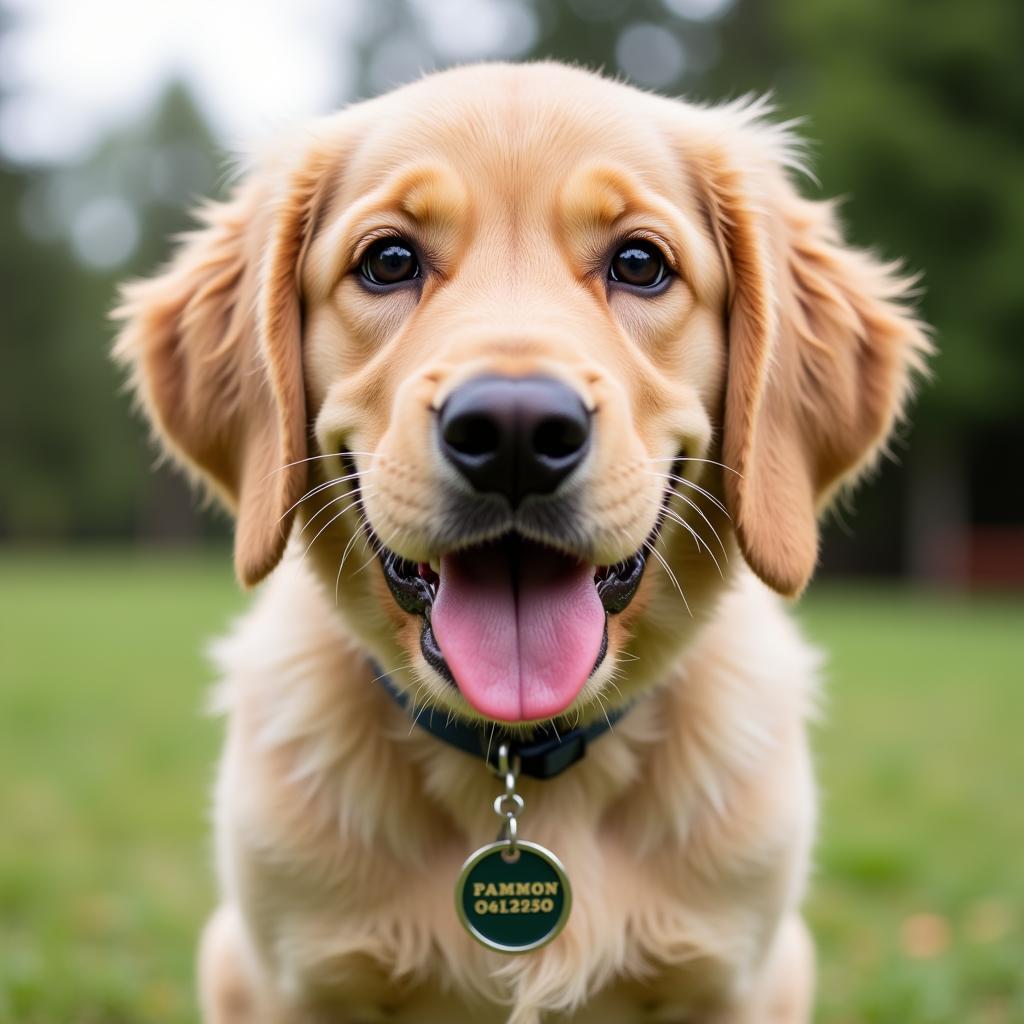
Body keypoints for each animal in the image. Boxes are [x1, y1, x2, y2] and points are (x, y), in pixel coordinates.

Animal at [116, 64, 933, 1024]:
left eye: (640, 264)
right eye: (388, 261)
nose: (512, 431)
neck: (517, 754)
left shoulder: (748, 974)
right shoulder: (276, 973)